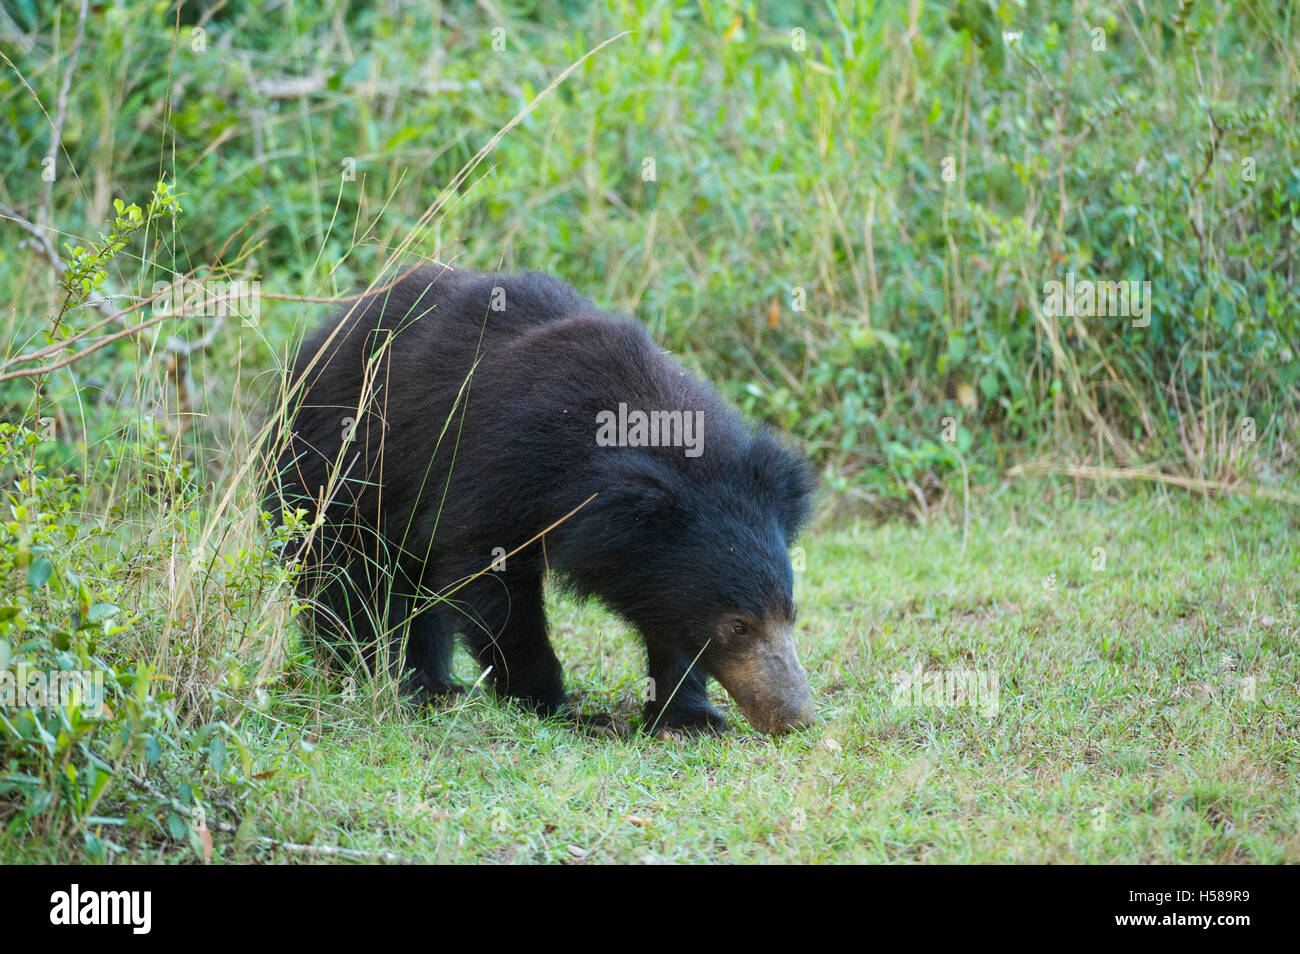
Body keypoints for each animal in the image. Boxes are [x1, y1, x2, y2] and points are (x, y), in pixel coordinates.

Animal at [266, 265, 816, 735]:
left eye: (790, 614)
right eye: (739, 626)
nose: (796, 717)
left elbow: (668, 616)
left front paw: (688, 717)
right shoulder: (500, 470)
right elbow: (491, 582)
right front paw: (555, 705)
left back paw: (435, 684)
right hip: (333, 468)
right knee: (344, 577)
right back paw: (370, 675)